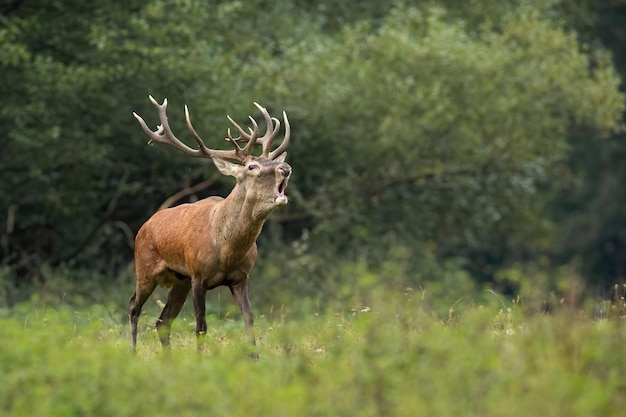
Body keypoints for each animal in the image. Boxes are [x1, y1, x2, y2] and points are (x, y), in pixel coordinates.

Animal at [129, 95, 292, 358]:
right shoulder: (198, 275)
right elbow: (201, 325)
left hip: (179, 280)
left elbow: (249, 319)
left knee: (162, 321)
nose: (285, 169)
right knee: (134, 305)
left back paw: (168, 359)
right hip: (145, 269)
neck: (226, 250)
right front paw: (200, 359)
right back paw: (132, 352)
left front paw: (255, 358)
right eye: (252, 167)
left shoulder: (241, 277)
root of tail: (144, 227)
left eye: (273, 160)